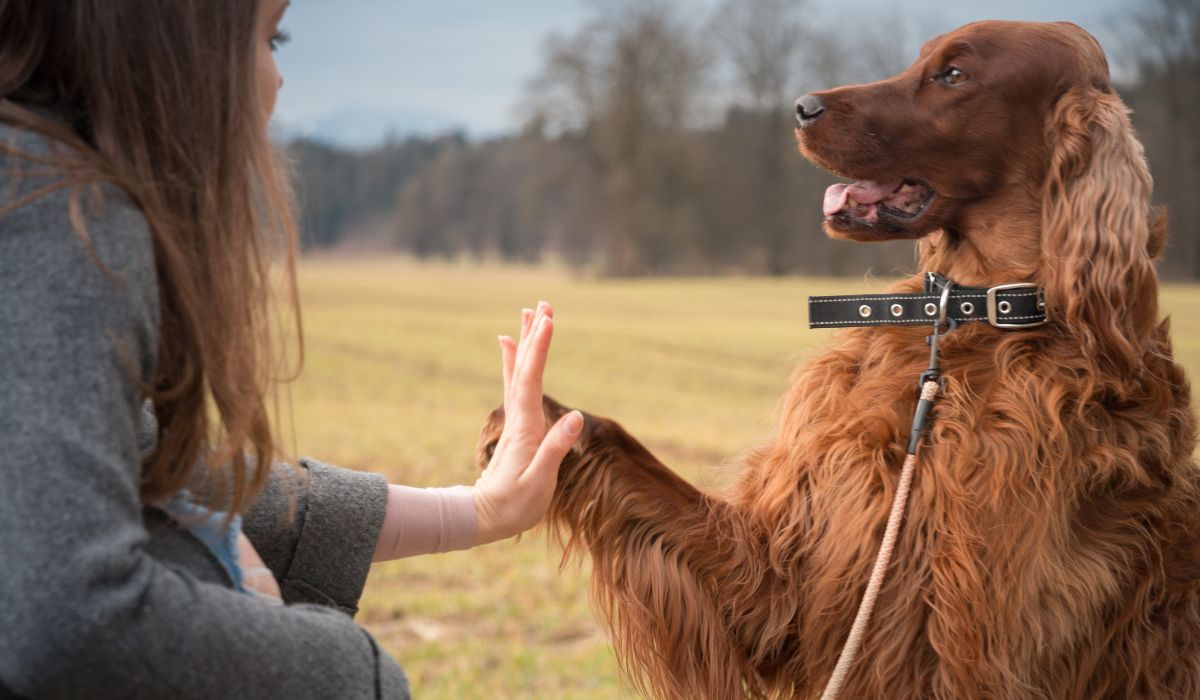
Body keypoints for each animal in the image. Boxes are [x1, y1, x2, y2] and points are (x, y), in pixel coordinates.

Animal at [472, 19, 1195, 696]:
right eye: (919, 59)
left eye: (954, 74)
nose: (800, 106)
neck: (965, 323)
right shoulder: (782, 578)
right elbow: (631, 456)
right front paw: (534, 424)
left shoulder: (976, 648)